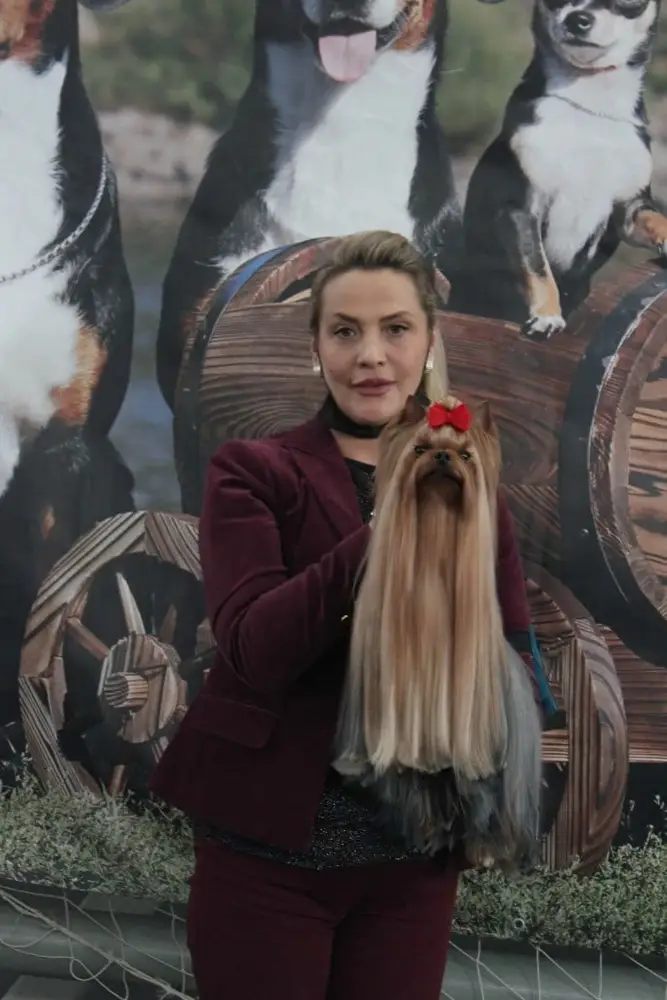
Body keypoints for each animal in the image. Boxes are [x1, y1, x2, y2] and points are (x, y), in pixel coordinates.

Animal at [448, 0, 666, 338]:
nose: (578, 19)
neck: (591, 105)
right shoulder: (522, 210)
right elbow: (539, 269)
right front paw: (547, 314)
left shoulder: (630, 209)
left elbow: (658, 219)